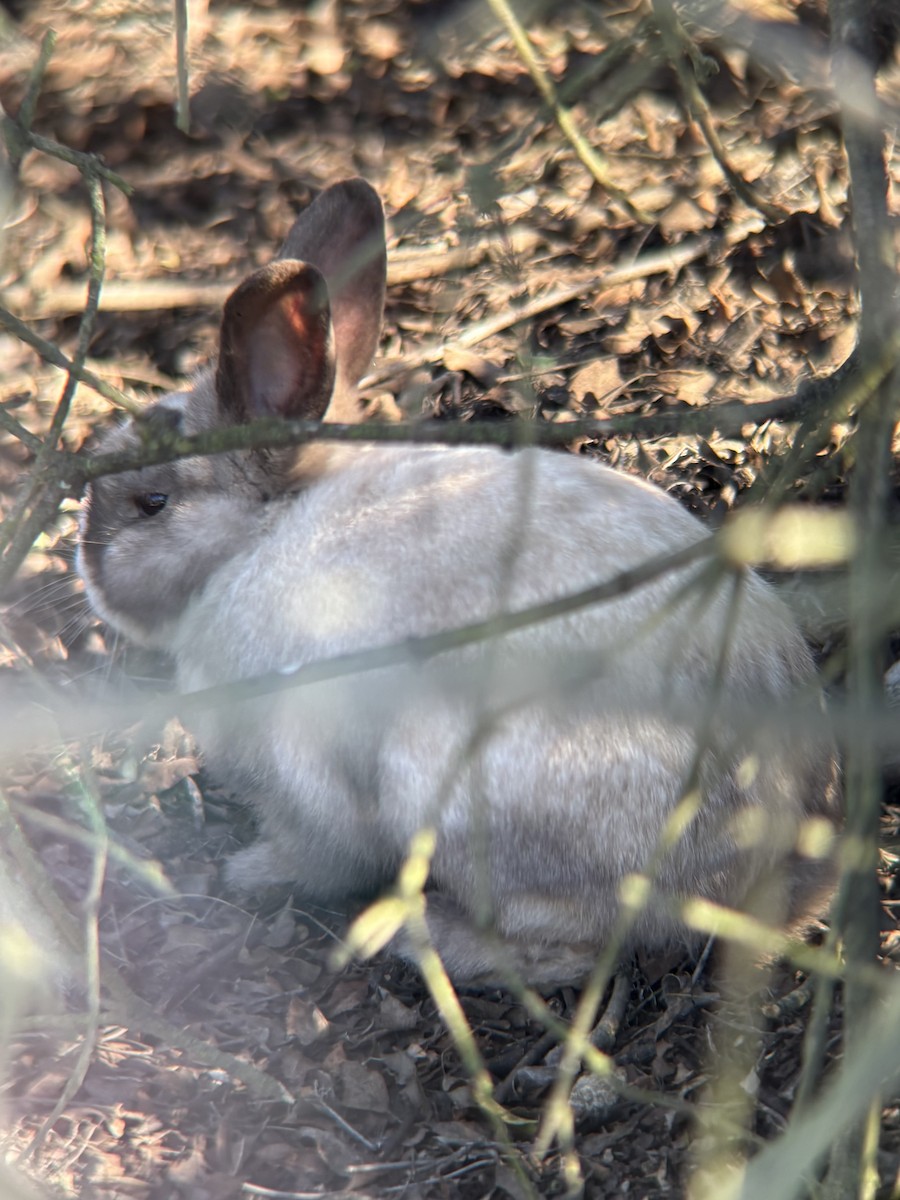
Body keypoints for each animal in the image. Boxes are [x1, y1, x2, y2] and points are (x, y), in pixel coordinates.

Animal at [78, 178, 841, 986]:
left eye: (151, 503)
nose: (85, 568)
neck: (256, 537)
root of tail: (763, 872)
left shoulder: (301, 783)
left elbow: (317, 855)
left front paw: (251, 872)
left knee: (573, 943)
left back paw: (427, 937)